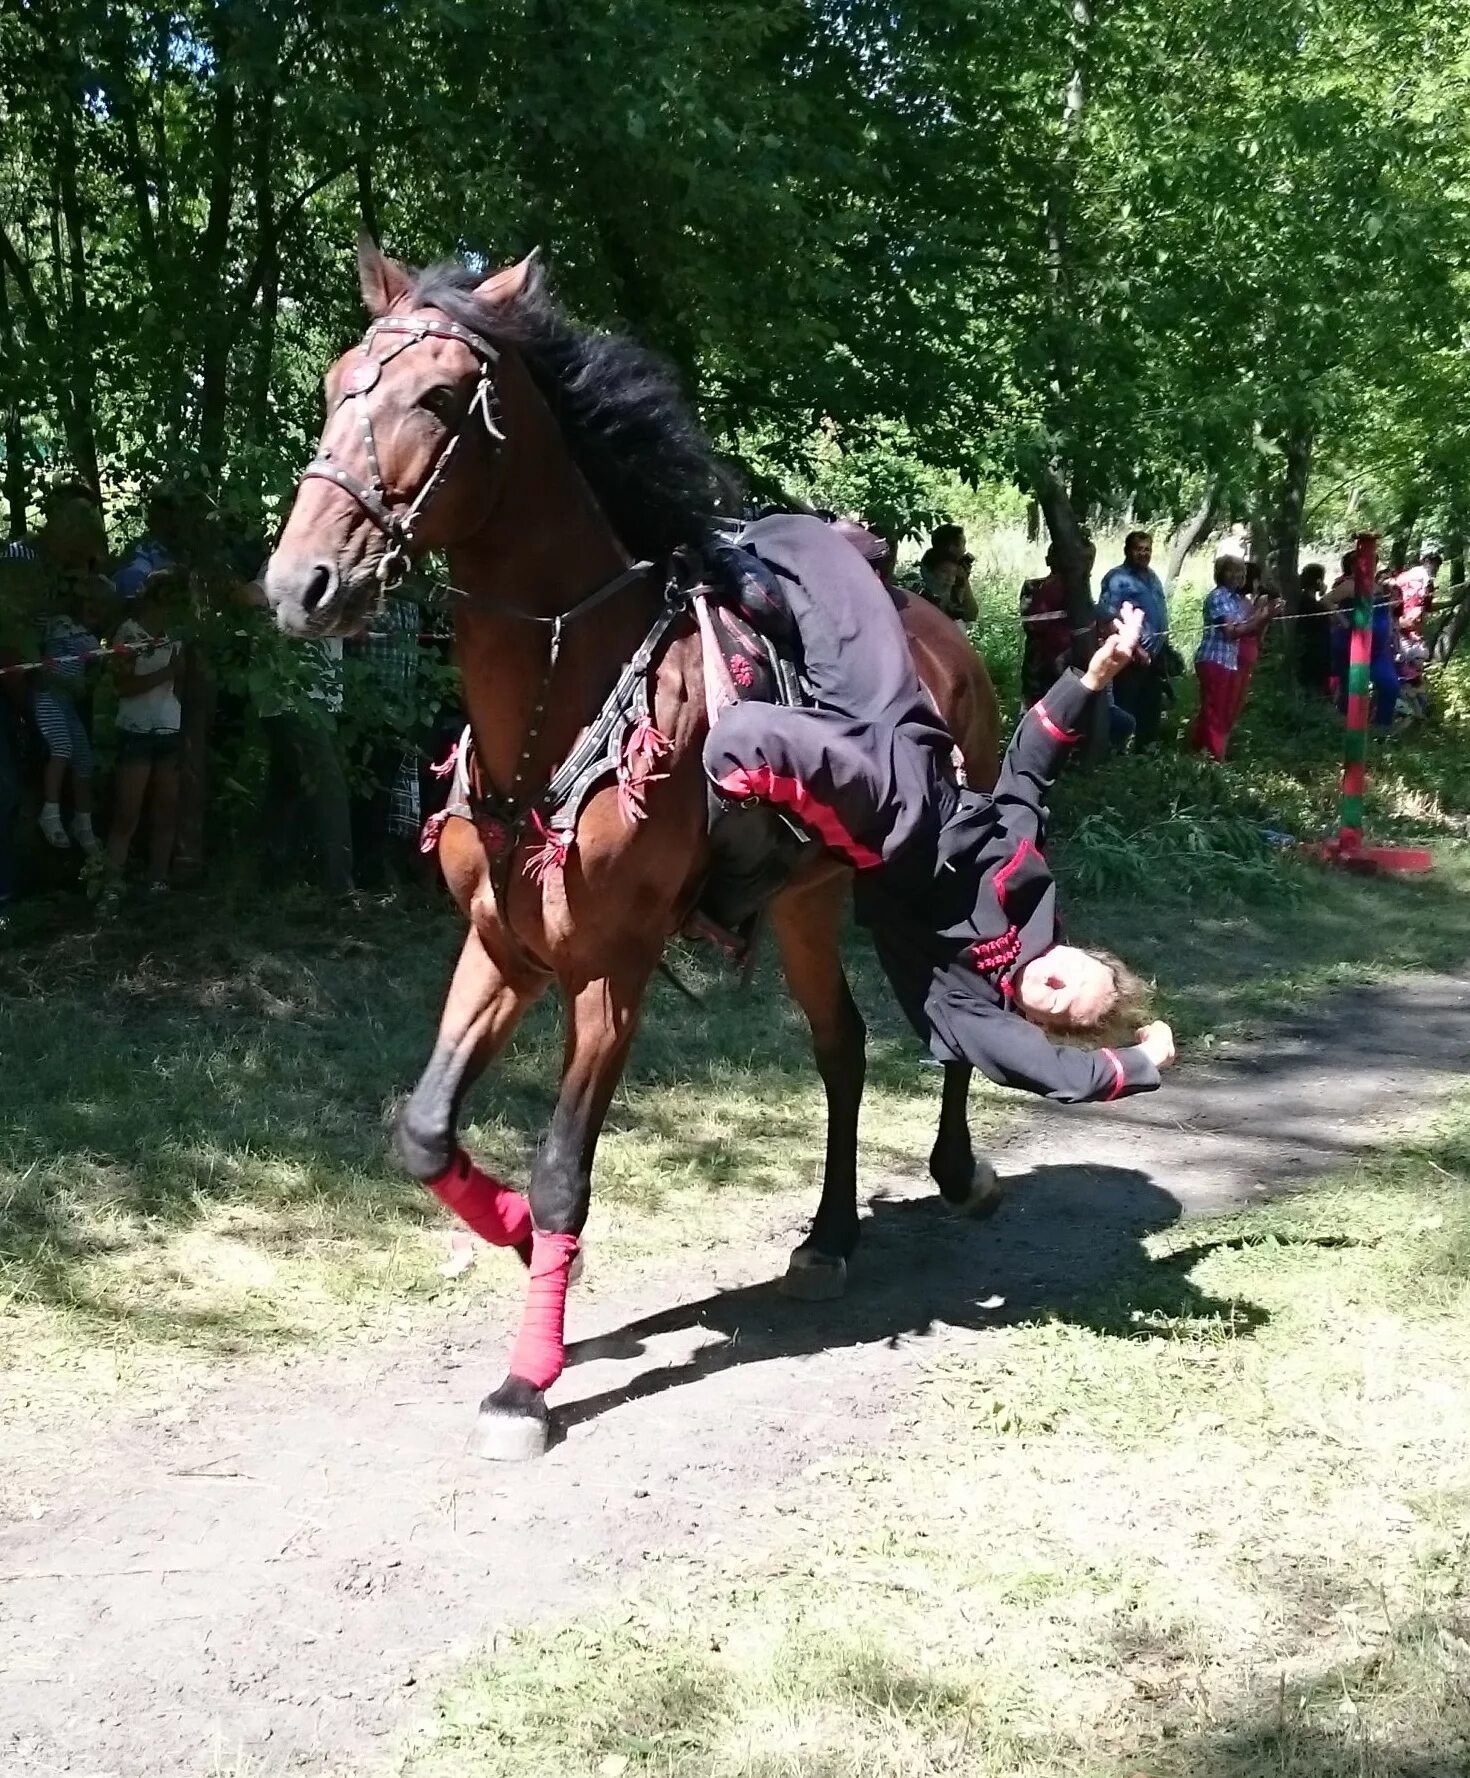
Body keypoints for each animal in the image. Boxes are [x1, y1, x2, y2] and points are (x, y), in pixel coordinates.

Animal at [266, 236, 1002, 1457]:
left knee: (951, 1017)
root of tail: (949, 637)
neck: (558, 707)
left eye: (435, 398)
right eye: (333, 387)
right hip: (805, 903)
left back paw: (953, 1169)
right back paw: (831, 1234)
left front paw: (526, 1379)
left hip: (926, 877)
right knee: (843, 1046)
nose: (302, 585)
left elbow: (566, 1167)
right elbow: (425, 1131)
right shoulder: (502, 948)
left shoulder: (612, 970)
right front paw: (521, 1240)